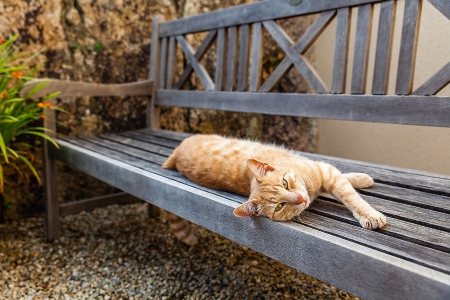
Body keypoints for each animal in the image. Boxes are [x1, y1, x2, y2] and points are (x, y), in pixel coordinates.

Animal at [163, 135, 386, 245]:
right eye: (279, 206)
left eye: (285, 183)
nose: (300, 199)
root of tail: (177, 152)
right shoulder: (325, 175)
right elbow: (347, 192)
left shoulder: (326, 172)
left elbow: (350, 194)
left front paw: (363, 184)